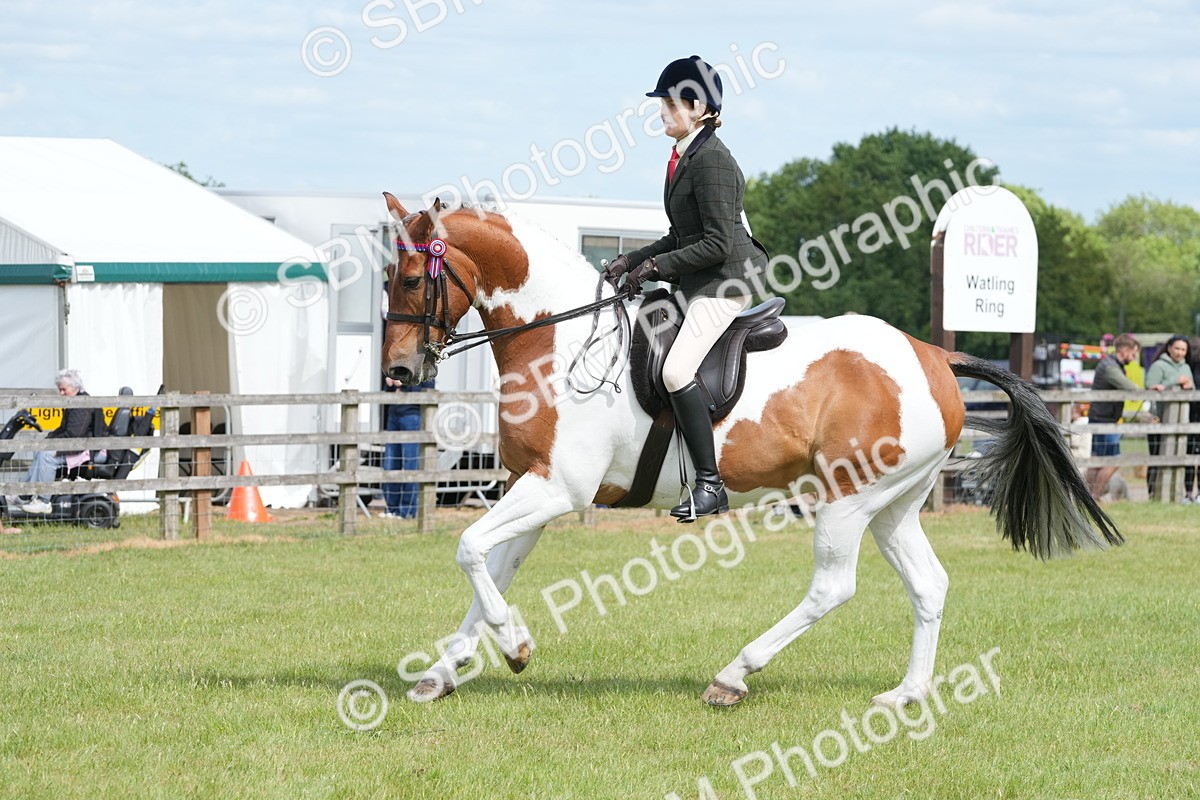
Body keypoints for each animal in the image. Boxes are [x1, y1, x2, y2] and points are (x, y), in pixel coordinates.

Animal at [380, 193, 1122, 707]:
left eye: (412, 280)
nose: (397, 373)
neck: (558, 338)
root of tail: (935, 354)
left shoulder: (557, 489)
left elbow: (468, 550)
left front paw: (514, 646)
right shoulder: (530, 486)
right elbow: (491, 569)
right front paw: (446, 672)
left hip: (848, 499)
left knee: (832, 587)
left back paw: (733, 676)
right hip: (893, 504)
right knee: (928, 584)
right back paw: (906, 694)